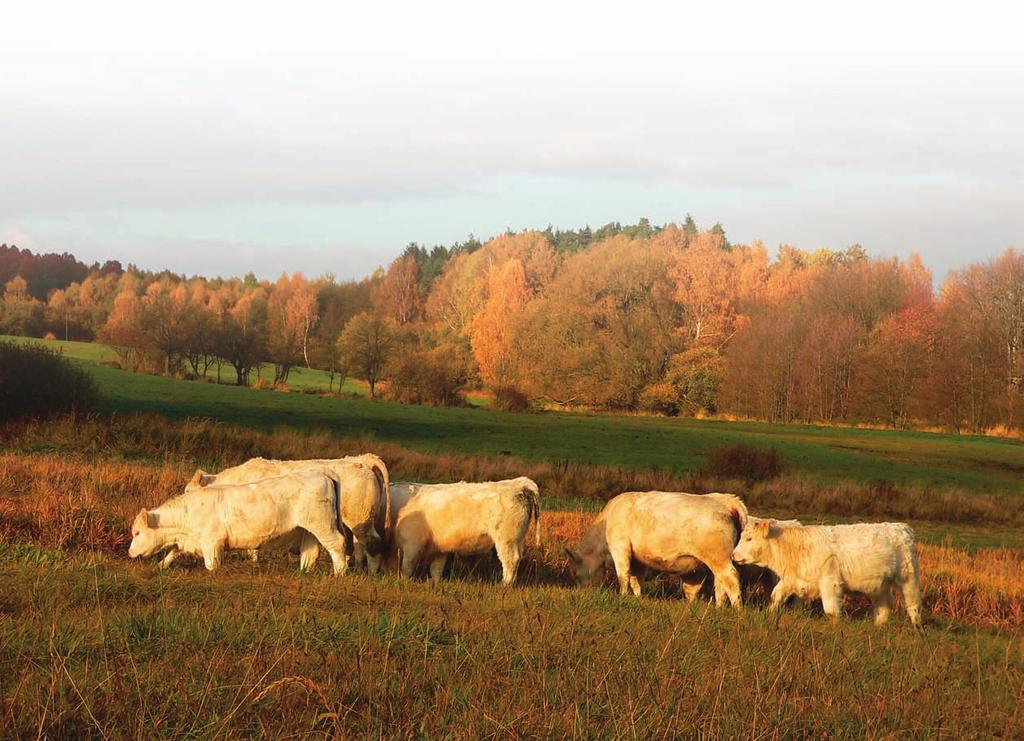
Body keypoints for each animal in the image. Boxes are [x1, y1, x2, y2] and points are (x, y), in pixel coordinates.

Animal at [126, 470, 352, 577]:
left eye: (137, 533)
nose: (129, 552)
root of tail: (320, 472)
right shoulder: (189, 541)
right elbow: (172, 553)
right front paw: (160, 566)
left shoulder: (211, 543)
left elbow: (211, 565)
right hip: (309, 529)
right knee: (310, 551)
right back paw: (304, 571)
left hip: (323, 526)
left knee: (336, 545)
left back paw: (338, 573)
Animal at [184, 452, 391, 573]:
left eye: (187, 493)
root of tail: (362, 460)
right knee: (356, 546)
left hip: (360, 519)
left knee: (372, 543)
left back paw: (371, 572)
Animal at [391, 476, 544, 589]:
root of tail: (519, 484)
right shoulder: (440, 547)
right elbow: (436, 568)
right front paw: (435, 583)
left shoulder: (412, 543)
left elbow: (407, 565)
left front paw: (403, 581)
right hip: (517, 539)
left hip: (506, 539)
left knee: (510, 560)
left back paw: (504, 585)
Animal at [565, 491, 749, 605]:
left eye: (575, 573)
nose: (583, 593)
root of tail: (725, 501)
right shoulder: (637, 560)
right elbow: (636, 580)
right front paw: (638, 598)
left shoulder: (620, 548)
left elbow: (623, 576)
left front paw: (622, 596)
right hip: (717, 561)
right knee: (721, 584)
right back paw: (719, 607)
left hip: (719, 558)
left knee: (731, 578)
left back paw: (737, 609)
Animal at [733, 521, 925, 626]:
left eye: (749, 538)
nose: (733, 555)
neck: (798, 548)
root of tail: (901, 527)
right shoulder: (792, 579)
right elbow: (775, 596)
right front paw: (769, 615)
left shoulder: (829, 582)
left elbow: (831, 611)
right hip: (879, 586)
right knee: (884, 604)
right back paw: (878, 625)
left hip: (908, 577)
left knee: (913, 603)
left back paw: (916, 626)